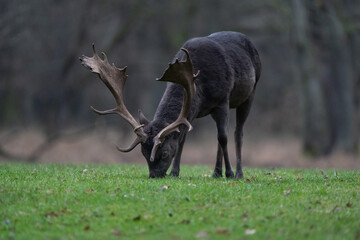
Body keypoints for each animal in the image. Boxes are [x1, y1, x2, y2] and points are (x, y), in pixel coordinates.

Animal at [80, 31, 262, 178]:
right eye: (143, 153)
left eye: (165, 154)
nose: (154, 175)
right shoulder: (192, 111)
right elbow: (182, 139)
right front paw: (175, 172)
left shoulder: (222, 100)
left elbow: (223, 137)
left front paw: (230, 173)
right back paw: (216, 172)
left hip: (250, 92)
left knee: (237, 133)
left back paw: (238, 173)